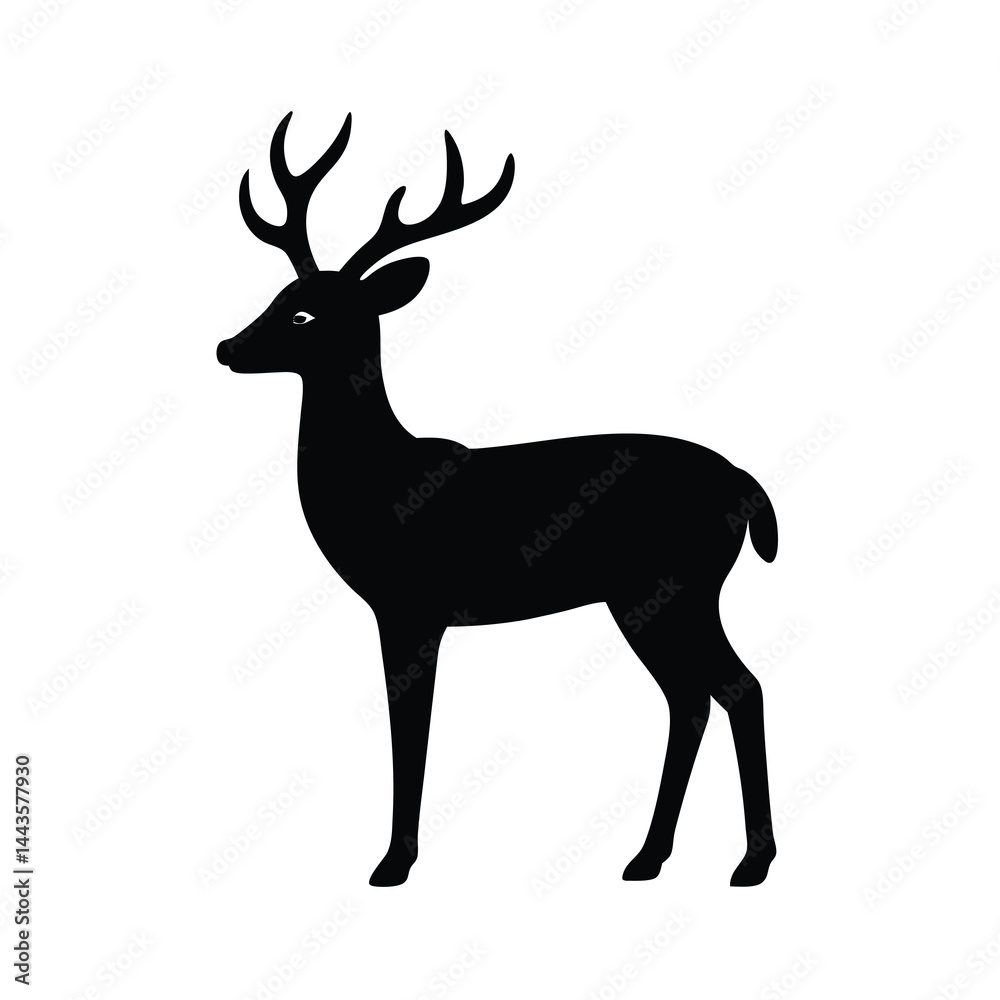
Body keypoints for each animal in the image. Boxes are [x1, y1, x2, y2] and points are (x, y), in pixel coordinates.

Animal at [217, 112, 779, 888]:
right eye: (278, 295)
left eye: (303, 315)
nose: (226, 347)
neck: (379, 483)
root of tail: (750, 488)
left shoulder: (409, 606)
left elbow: (410, 732)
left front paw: (393, 864)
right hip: (647, 597)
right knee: (692, 696)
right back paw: (649, 857)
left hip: (677, 584)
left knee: (737, 687)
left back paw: (750, 863)